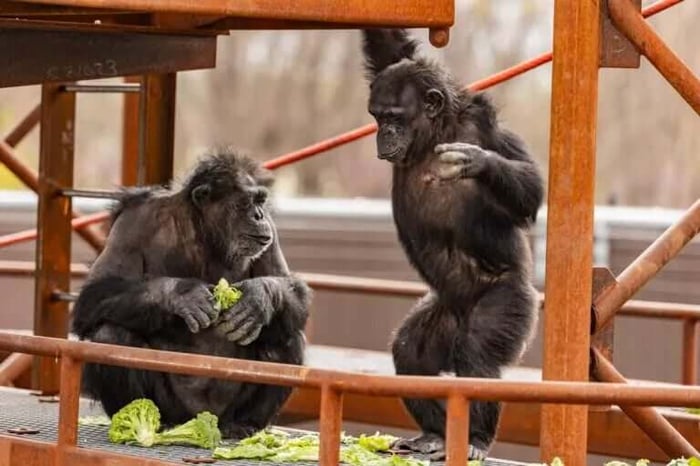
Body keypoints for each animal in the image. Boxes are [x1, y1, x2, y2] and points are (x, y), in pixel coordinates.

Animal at [70, 148, 311, 439]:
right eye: (246, 202)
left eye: (260, 200)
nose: (259, 215)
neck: (203, 232)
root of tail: (202, 417)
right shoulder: (133, 222)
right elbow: (94, 293)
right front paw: (182, 294)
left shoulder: (270, 233)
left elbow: (288, 286)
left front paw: (258, 298)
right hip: (174, 407)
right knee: (111, 335)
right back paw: (149, 424)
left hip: (224, 411)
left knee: (286, 335)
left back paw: (242, 425)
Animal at [362, 29, 544, 460]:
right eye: (377, 116)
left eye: (394, 117)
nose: (383, 133)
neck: (436, 135)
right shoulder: (392, 59)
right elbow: (390, 46)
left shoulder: (487, 127)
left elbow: (530, 187)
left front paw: (477, 162)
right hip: (444, 314)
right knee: (410, 351)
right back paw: (432, 433)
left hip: (509, 303)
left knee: (477, 354)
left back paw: (475, 439)